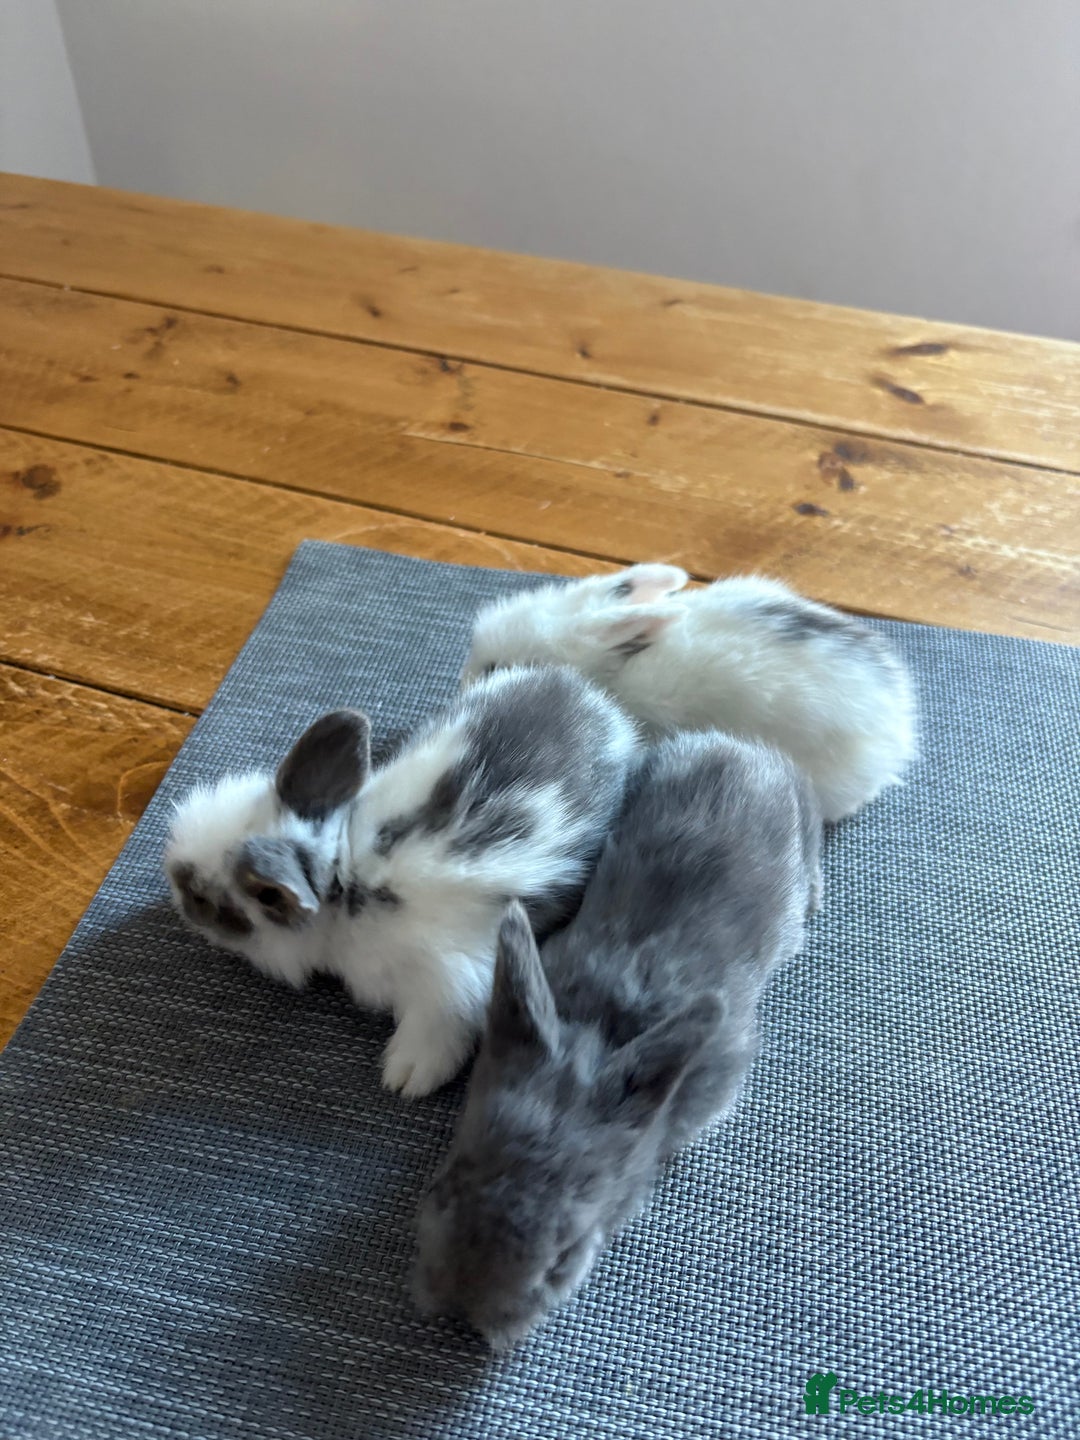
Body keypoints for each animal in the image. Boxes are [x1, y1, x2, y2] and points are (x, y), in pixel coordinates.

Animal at [164, 665, 640, 1098]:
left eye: (203, 899)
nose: (174, 881)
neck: (346, 883)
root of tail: (595, 701)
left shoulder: (449, 984)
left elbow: (438, 1027)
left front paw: (406, 1077)